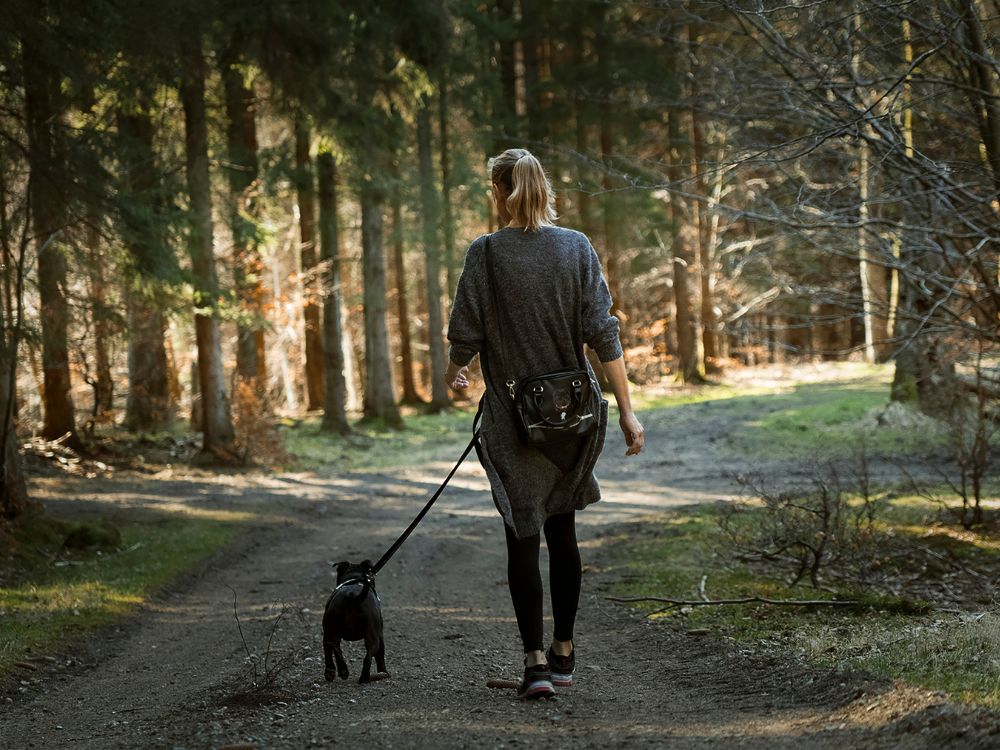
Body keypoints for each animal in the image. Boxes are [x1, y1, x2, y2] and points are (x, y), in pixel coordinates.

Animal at [324, 560, 386, 688]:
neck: (354, 578)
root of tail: (351, 596)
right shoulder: (381, 635)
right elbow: (381, 656)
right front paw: (383, 672)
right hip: (372, 637)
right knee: (368, 656)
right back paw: (363, 678)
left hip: (330, 630)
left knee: (334, 648)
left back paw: (340, 672)